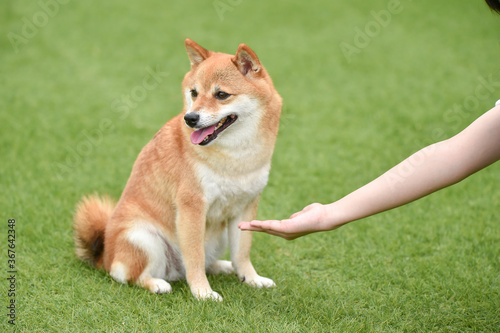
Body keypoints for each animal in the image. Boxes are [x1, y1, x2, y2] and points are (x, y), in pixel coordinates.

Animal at [72, 39, 282, 300]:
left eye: (221, 94)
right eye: (194, 93)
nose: (190, 118)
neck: (236, 156)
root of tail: (104, 256)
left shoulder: (245, 208)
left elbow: (242, 253)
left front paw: (251, 279)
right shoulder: (192, 208)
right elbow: (195, 256)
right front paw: (203, 293)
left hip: (219, 234)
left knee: (205, 262)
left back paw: (222, 266)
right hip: (143, 239)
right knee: (128, 276)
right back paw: (156, 284)